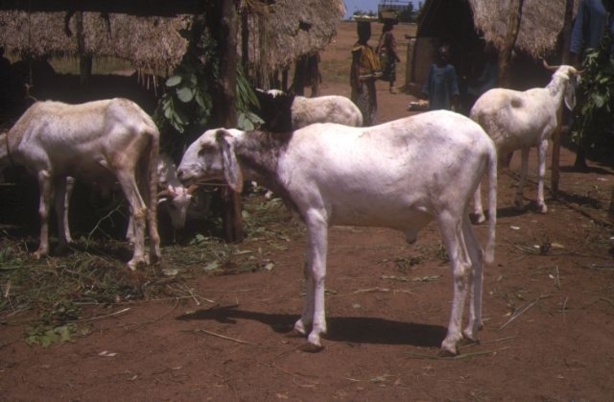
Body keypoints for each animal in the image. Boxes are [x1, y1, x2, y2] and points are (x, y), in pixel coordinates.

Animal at [0, 96, 161, 270]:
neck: (24, 130)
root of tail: (146, 123)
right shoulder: (60, 173)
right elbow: (60, 207)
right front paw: (61, 246)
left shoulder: (44, 171)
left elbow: (43, 211)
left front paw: (40, 251)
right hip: (146, 164)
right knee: (151, 205)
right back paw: (153, 256)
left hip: (123, 166)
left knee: (139, 208)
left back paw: (135, 260)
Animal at [178, 110, 500, 354]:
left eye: (206, 148)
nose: (180, 173)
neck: (285, 155)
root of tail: (486, 142)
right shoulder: (307, 219)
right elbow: (306, 268)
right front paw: (301, 323)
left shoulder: (316, 215)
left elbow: (318, 270)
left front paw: (316, 333)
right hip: (460, 214)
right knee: (477, 257)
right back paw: (471, 328)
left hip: (447, 213)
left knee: (462, 267)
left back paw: (450, 340)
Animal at [472, 62, 584, 223]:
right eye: (575, 79)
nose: (581, 82)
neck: (551, 98)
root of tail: (476, 111)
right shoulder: (543, 140)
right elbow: (541, 172)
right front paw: (541, 205)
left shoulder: (526, 145)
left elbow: (524, 170)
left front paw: (518, 202)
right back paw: (479, 214)